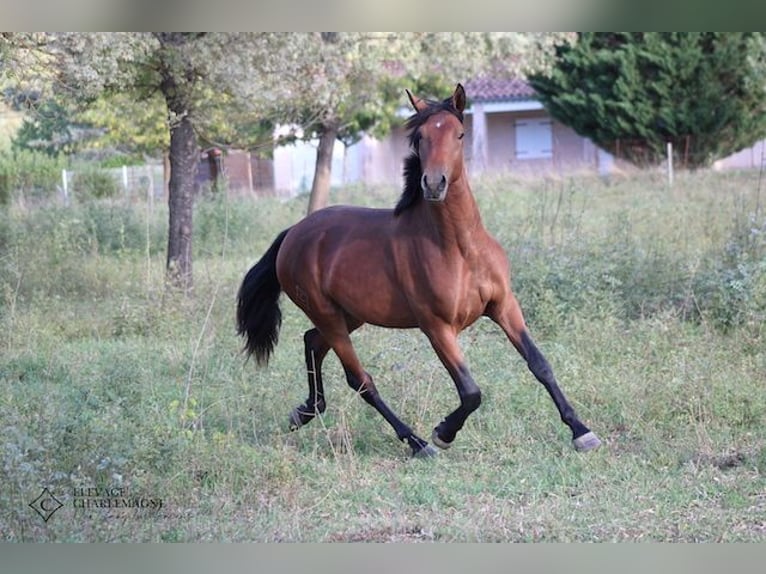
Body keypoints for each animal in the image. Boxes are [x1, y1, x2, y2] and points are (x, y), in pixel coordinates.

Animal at [237, 83, 604, 460]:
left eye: (459, 134)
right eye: (421, 138)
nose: (434, 184)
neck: (460, 249)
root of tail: (293, 233)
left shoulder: (504, 306)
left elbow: (539, 364)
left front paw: (582, 432)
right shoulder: (437, 326)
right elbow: (471, 391)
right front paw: (444, 432)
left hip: (348, 315)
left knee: (312, 341)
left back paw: (305, 411)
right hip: (328, 315)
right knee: (361, 380)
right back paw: (417, 443)